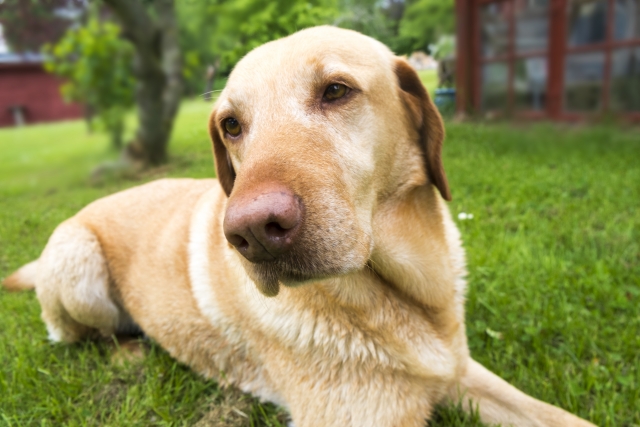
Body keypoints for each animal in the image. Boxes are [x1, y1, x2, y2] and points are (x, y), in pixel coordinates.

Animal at [2, 27, 596, 427]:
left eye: (336, 90)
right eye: (231, 125)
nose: (251, 233)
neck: (406, 295)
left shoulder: (461, 370)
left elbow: (562, 417)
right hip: (79, 265)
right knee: (78, 334)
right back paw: (130, 348)